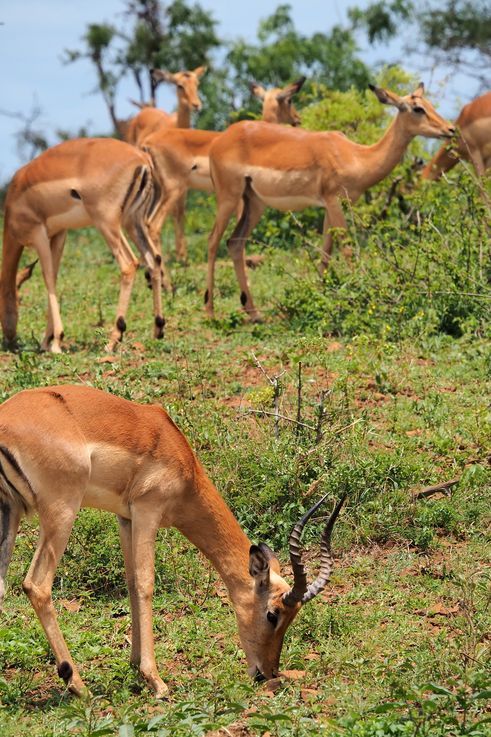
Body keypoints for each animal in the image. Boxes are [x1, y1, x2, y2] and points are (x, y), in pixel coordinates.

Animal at [0, 384, 345, 697]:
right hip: (62, 512)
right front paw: (156, 680)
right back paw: (77, 685)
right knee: (37, 585)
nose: (266, 672)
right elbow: (145, 584)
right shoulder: (147, 510)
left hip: (10, 511)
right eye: (273, 614)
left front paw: (135, 667)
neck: (176, 450)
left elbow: (130, 582)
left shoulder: (126, 518)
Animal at [1, 138, 167, 353]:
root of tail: (142, 158)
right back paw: (158, 329)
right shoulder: (59, 234)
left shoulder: (38, 234)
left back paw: (113, 340)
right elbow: (54, 276)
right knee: (154, 260)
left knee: (129, 263)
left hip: (107, 223)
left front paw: (56, 342)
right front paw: (47, 340)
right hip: (133, 221)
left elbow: (48, 278)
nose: (9, 339)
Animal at [143, 77, 306, 263]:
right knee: (154, 226)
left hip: (157, 192)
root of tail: (147, 143)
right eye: (289, 100)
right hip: (174, 189)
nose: (297, 118)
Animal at [204, 82, 455, 320]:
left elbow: (326, 251)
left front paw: (320, 299)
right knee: (214, 240)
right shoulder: (335, 202)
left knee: (235, 243)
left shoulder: (328, 206)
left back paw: (254, 314)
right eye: (417, 108)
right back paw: (210, 312)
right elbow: (346, 248)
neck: (356, 156)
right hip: (228, 197)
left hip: (254, 203)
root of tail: (220, 140)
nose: (450, 129)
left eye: (429, 104)